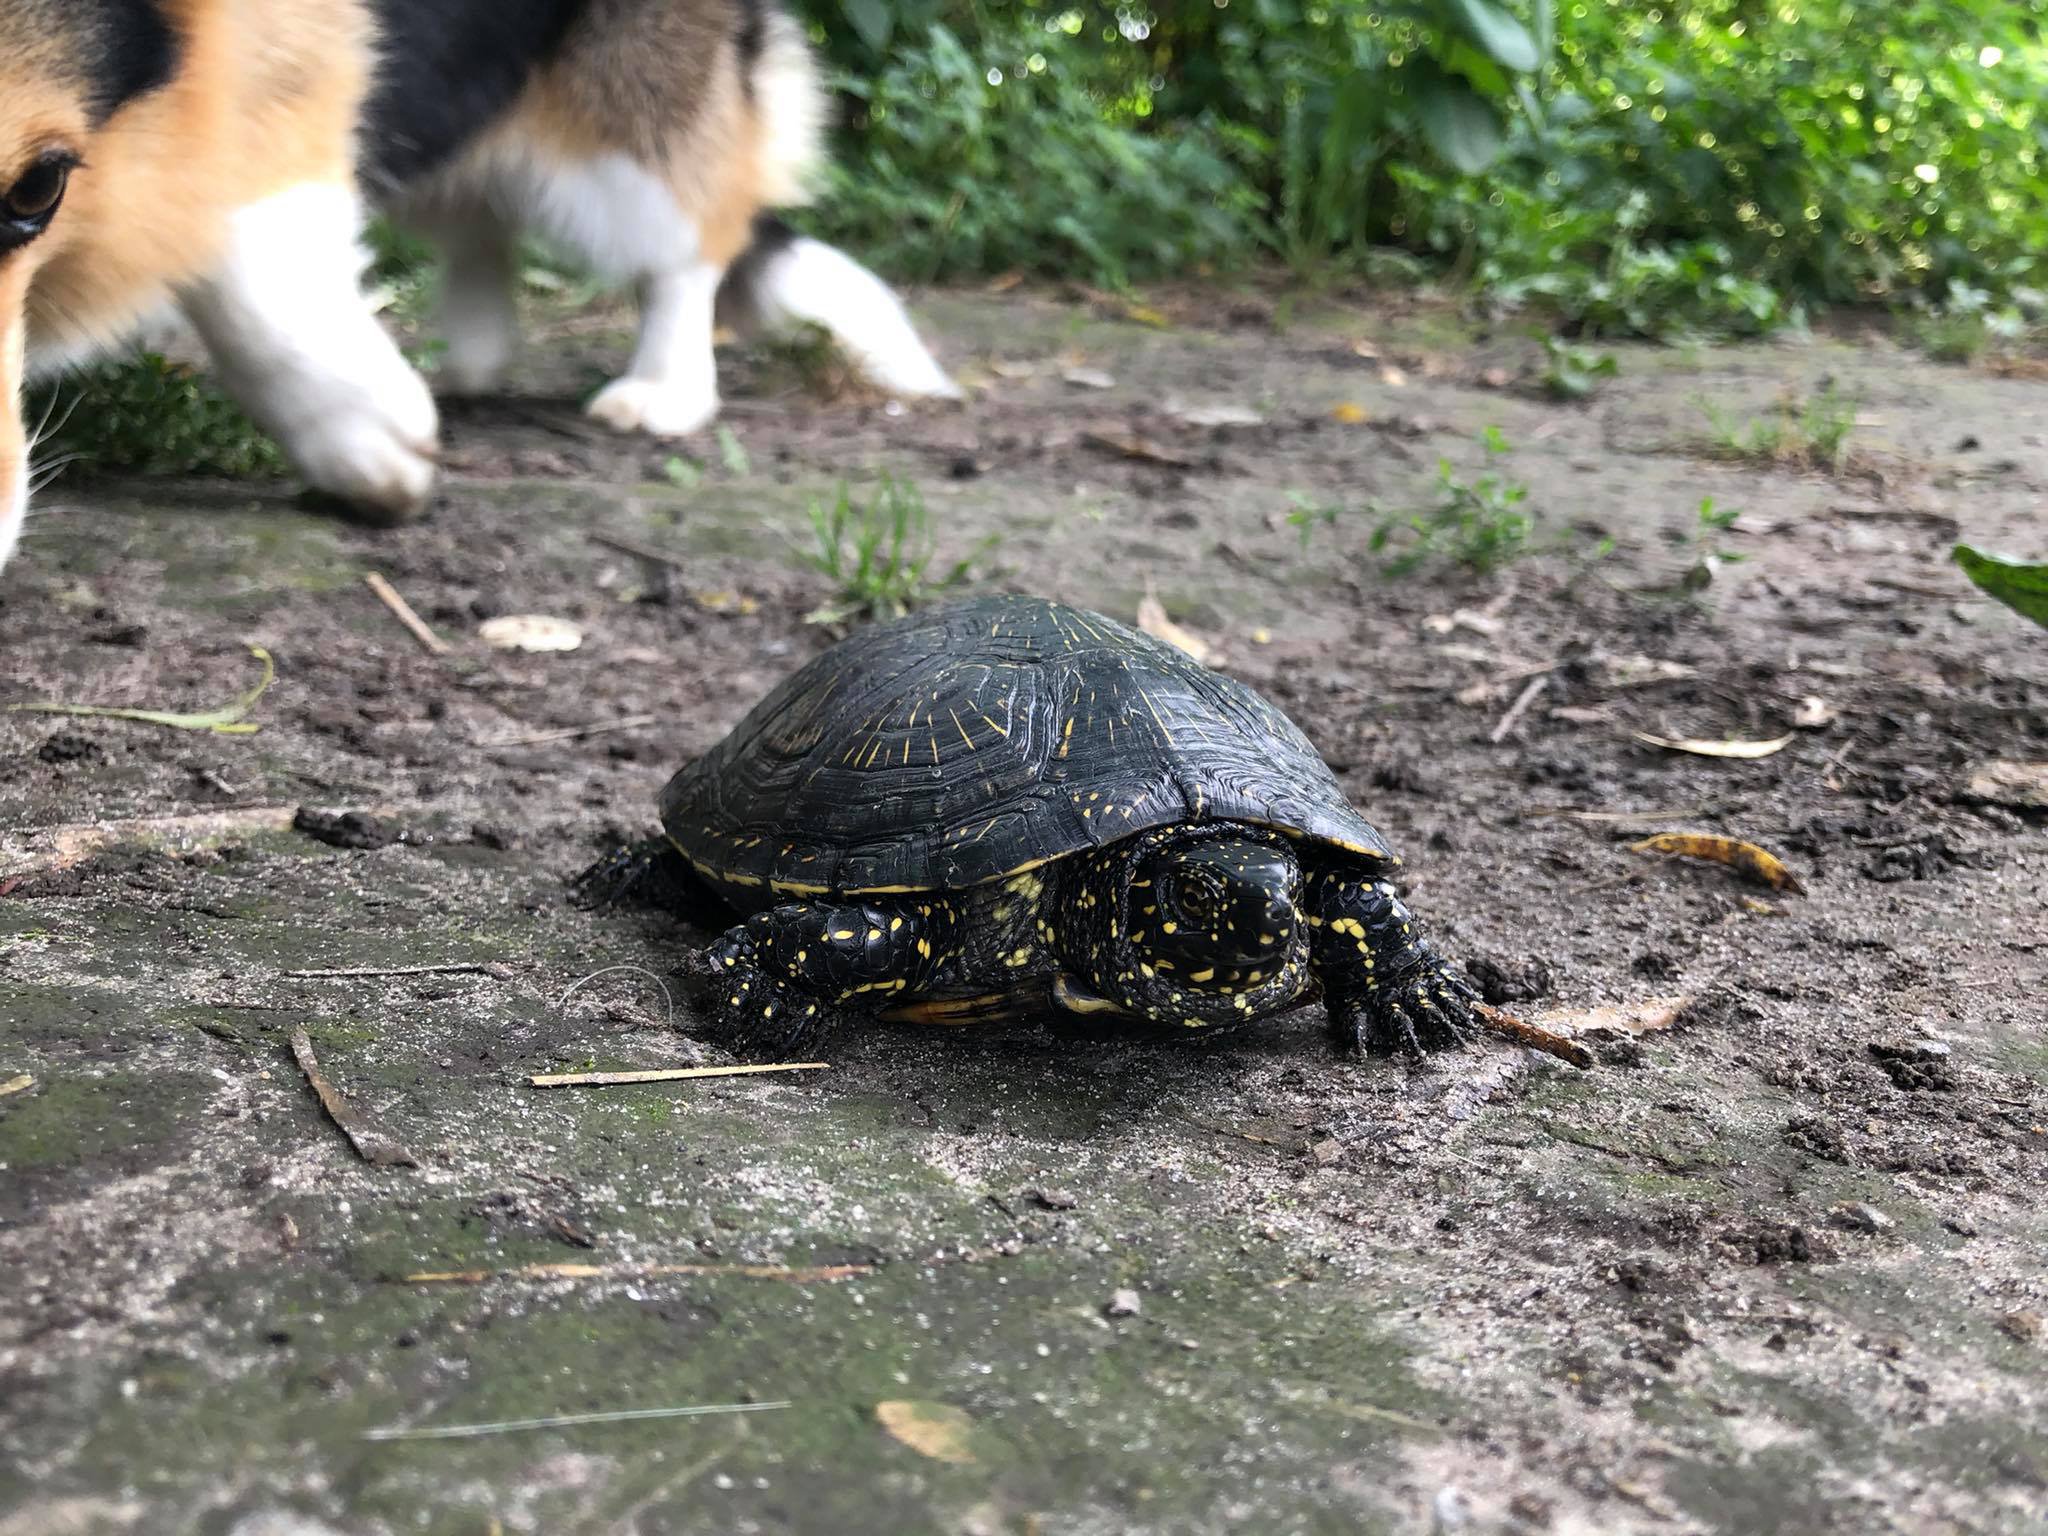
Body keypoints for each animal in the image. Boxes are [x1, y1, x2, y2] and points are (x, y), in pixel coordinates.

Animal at [0, 0, 958, 573]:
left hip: (622, 130)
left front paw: (363, 436)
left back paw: (663, 387)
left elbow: (247, 249)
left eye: (37, 189)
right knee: (479, 227)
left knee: (689, 241)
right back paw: (467, 366)